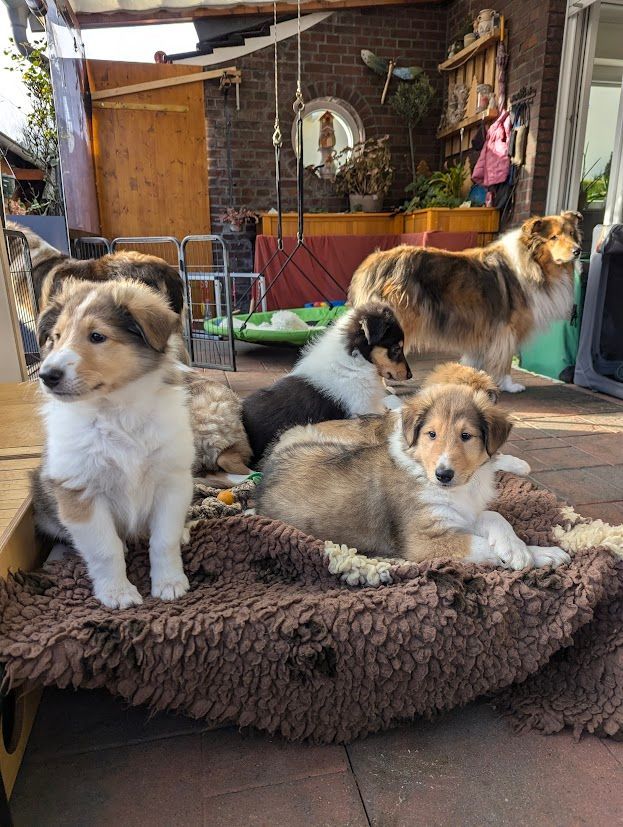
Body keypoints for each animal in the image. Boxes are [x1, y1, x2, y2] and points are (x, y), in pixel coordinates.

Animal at [31, 278, 194, 609]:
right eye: (56, 337)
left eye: (97, 336)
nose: (46, 375)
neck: (117, 411)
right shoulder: (79, 493)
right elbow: (106, 549)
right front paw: (118, 593)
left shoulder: (172, 482)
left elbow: (164, 540)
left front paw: (169, 583)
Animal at [257, 382, 569, 570]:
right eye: (431, 434)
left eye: (466, 436)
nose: (444, 475)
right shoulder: (423, 541)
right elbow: (480, 544)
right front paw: (533, 554)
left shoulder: (461, 514)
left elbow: (493, 516)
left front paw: (524, 549)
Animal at [348, 211, 582, 393]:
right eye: (554, 237)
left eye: (572, 234)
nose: (578, 250)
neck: (531, 264)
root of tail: (372, 263)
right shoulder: (507, 330)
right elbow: (505, 361)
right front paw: (509, 385)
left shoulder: (484, 329)